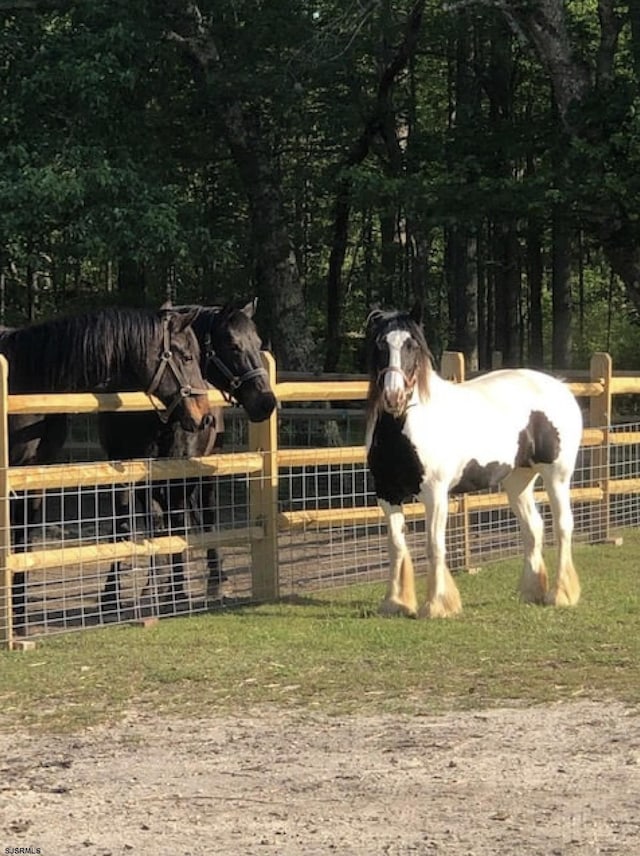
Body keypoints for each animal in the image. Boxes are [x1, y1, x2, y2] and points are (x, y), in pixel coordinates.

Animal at [1, 304, 214, 632]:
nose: (204, 417)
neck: (25, 381)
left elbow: (23, 542)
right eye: (187, 357)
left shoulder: (34, 474)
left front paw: (20, 622)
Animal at [96, 300, 276, 616]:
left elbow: (178, 524)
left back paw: (215, 580)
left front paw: (176, 592)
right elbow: (126, 526)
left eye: (257, 343)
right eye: (232, 344)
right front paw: (113, 596)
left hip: (204, 471)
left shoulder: (179, 470)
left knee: (204, 518)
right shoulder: (125, 471)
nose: (267, 402)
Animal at [362, 304, 584, 620]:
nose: (394, 396)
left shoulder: (435, 495)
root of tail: (561, 388)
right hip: (518, 481)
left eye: (411, 345)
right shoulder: (387, 494)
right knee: (533, 528)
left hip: (557, 476)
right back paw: (531, 592)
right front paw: (395, 603)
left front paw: (437, 605)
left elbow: (434, 546)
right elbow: (396, 546)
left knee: (563, 525)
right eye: (380, 345)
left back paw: (560, 594)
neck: (404, 425)